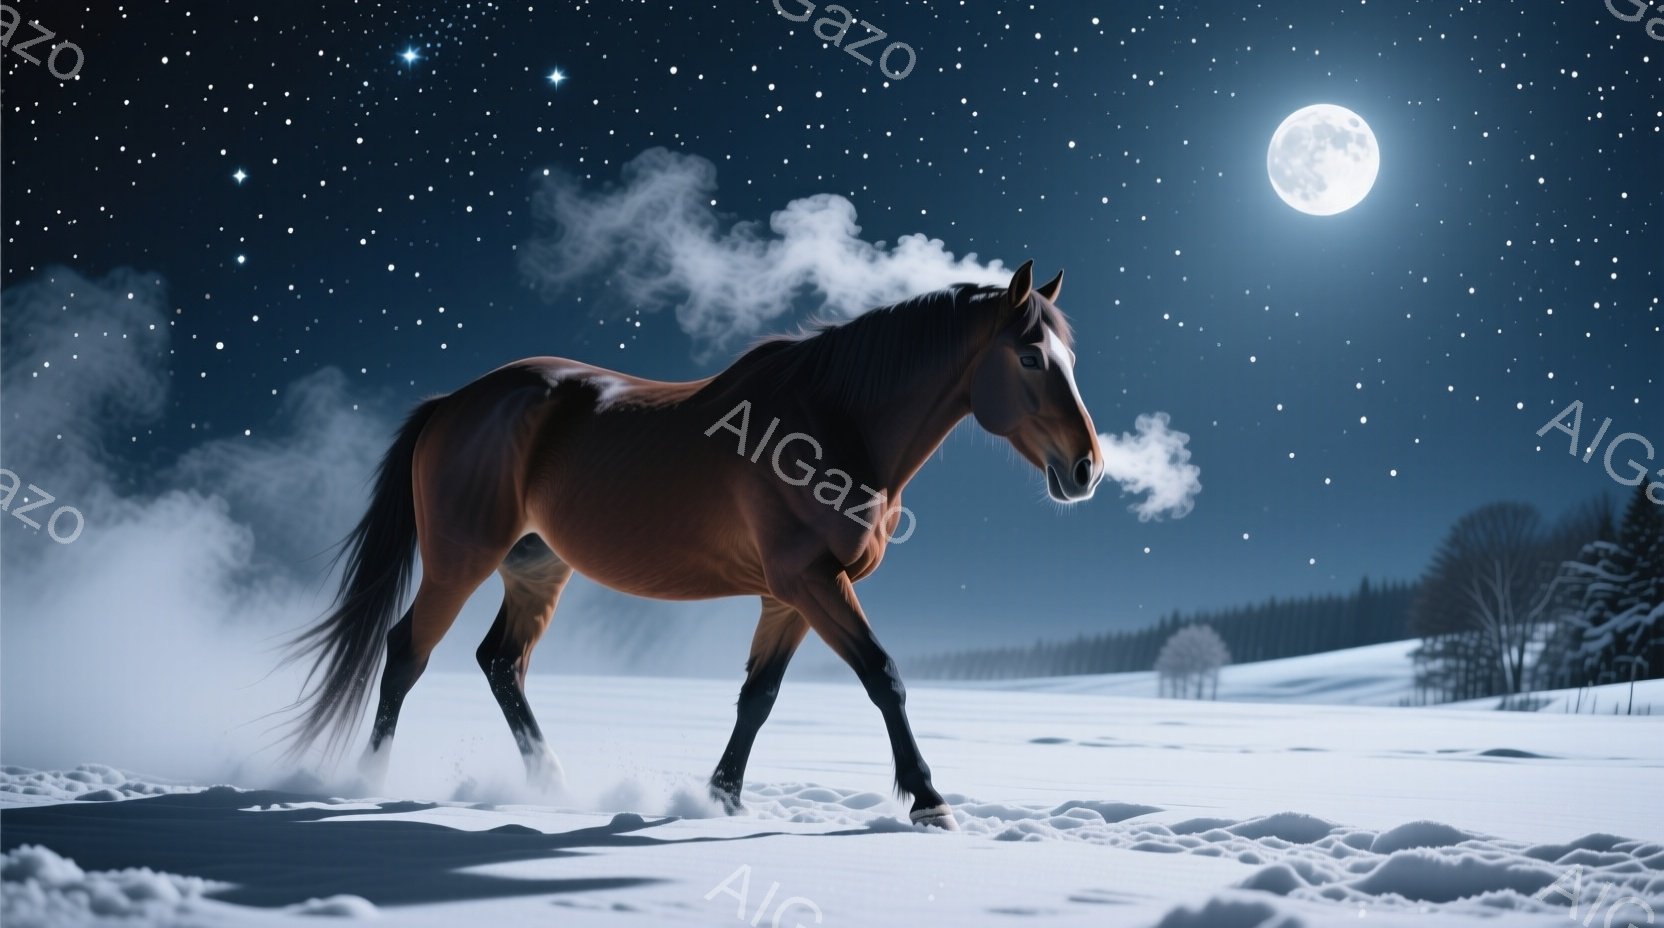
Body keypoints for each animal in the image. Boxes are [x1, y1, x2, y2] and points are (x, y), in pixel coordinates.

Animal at [283, 260, 1103, 829]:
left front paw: (721, 800)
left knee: (500, 663)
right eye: (1030, 358)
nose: (1087, 469)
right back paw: (367, 783)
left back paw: (552, 785)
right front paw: (931, 802)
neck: (833, 421)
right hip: (460, 560)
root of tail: (454, 401)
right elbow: (884, 677)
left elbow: (759, 697)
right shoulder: (811, 581)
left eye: (1070, 359)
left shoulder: (791, 596)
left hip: (536, 568)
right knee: (406, 653)